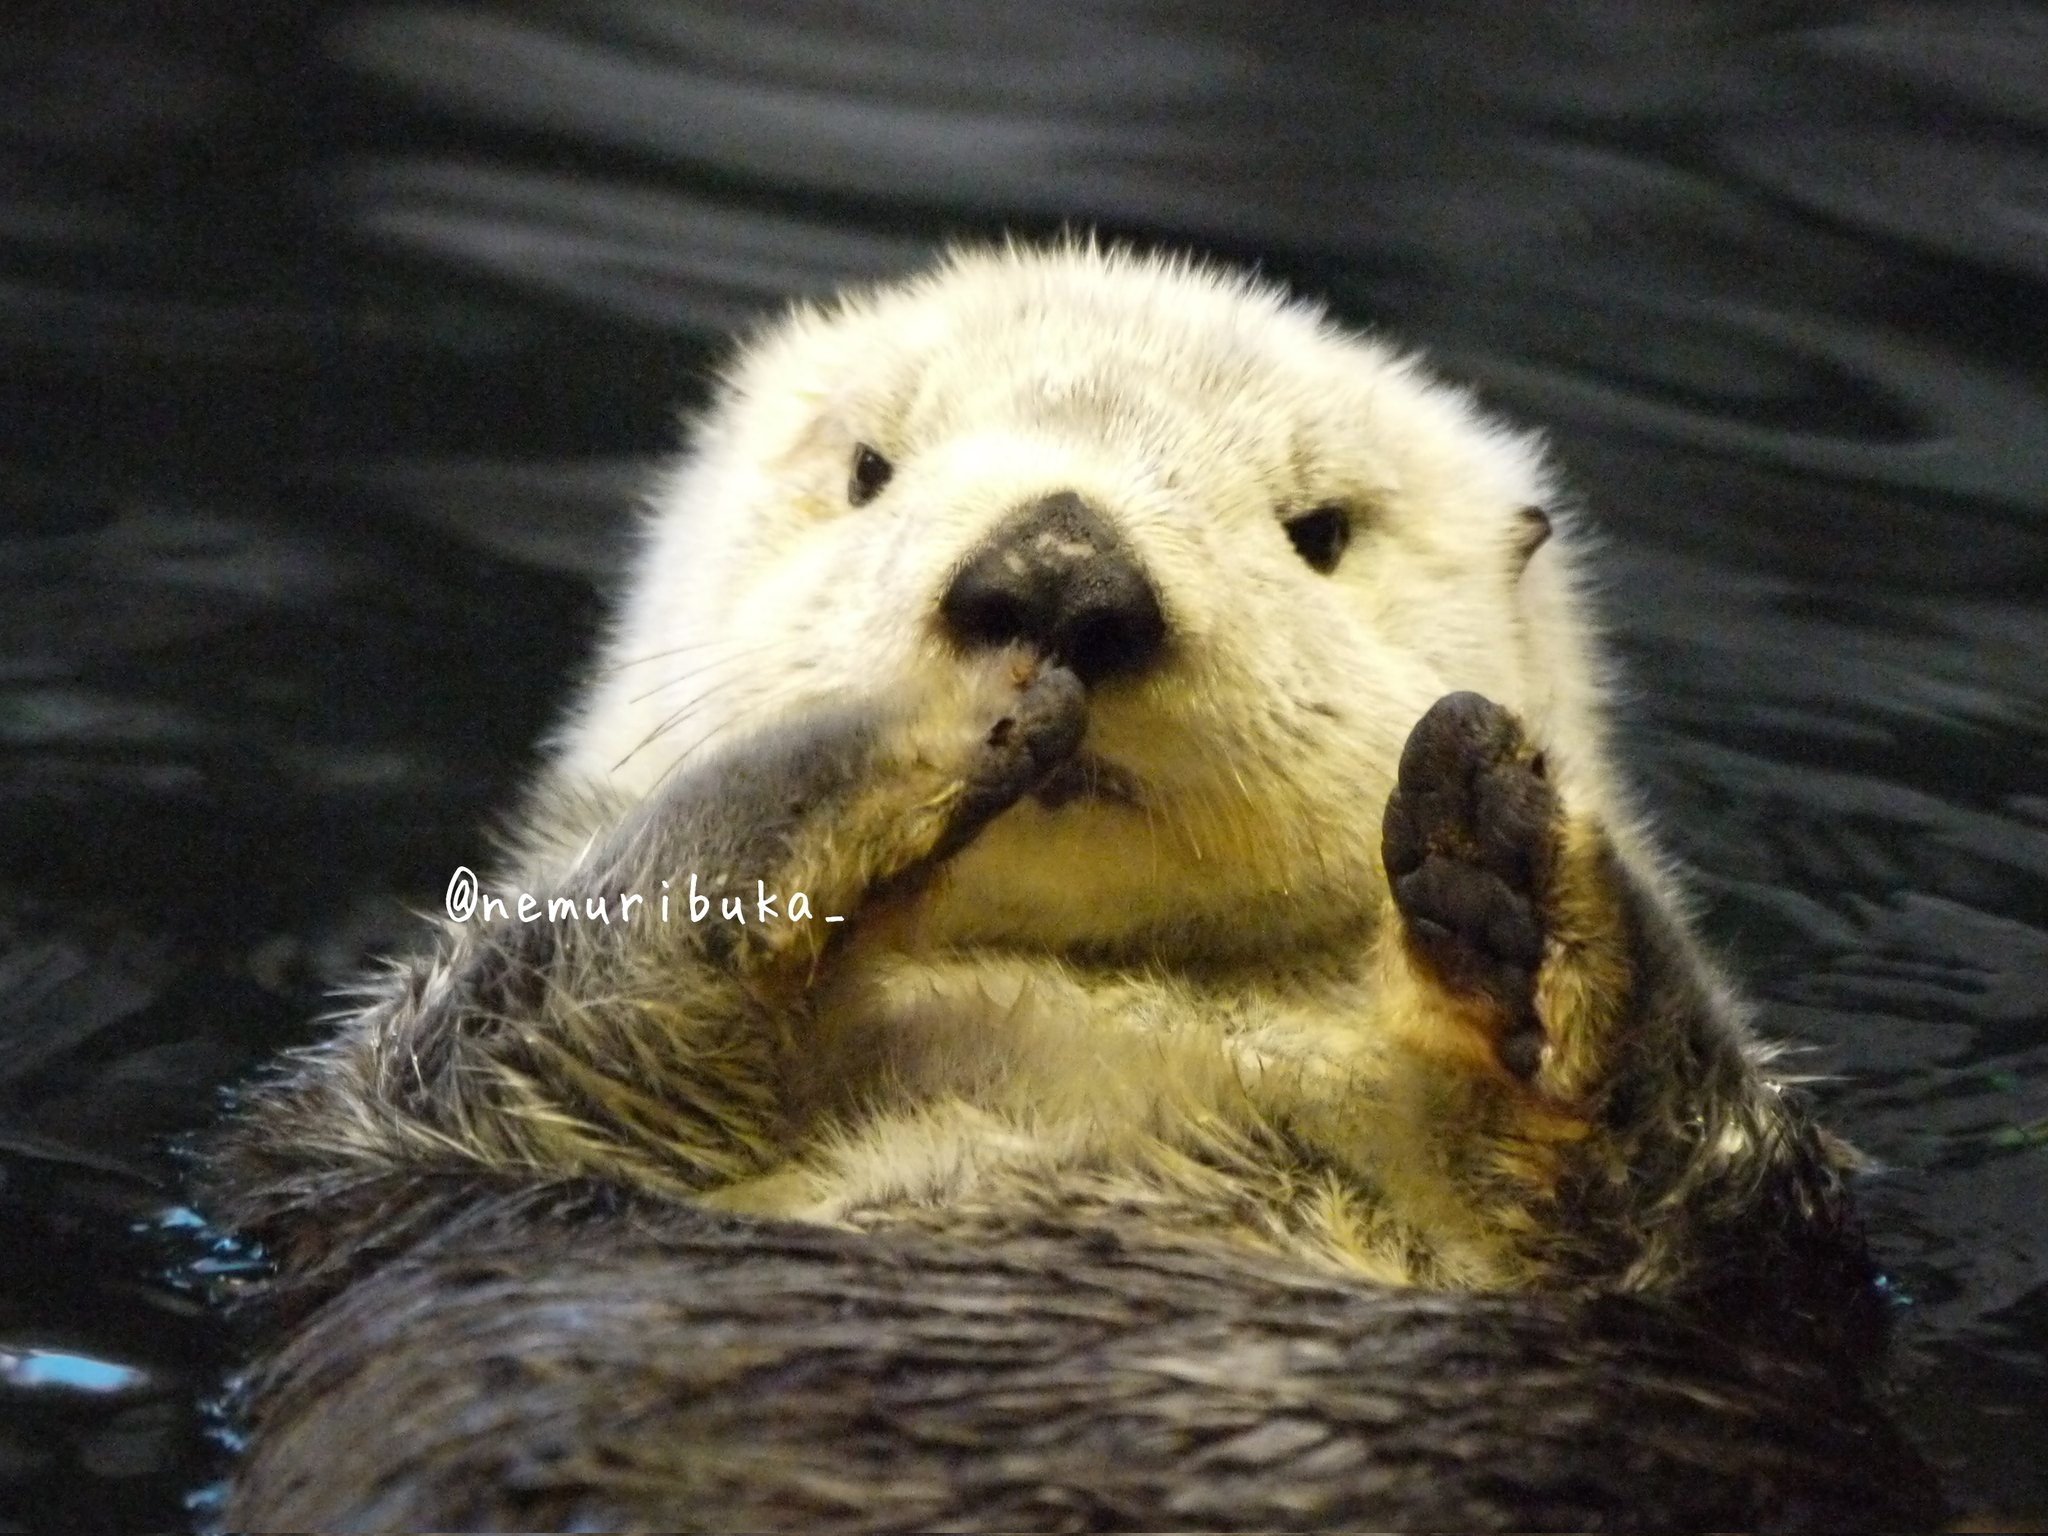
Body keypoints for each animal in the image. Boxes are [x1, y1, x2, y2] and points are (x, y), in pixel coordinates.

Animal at [199, 246, 1925, 1531]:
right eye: (871, 469)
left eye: (1318, 531)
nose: (1055, 577)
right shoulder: (424, 1122)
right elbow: (547, 1000)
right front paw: (901, 734)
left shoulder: (1721, 1272)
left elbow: (1711, 1185)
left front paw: (1517, 863)